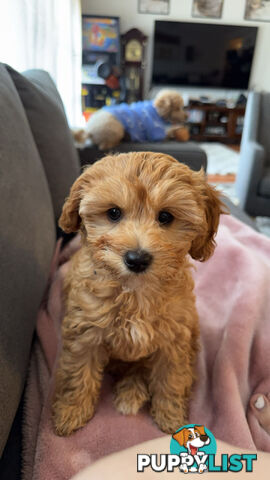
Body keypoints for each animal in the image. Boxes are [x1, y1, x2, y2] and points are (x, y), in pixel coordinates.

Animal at [51, 152, 225, 436]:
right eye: (113, 212)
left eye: (165, 217)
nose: (137, 259)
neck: (134, 290)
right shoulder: (85, 333)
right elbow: (78, 374)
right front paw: (71, 412)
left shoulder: (174, 338)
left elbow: (171, 378)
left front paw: (171, 417)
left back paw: (132, 392)